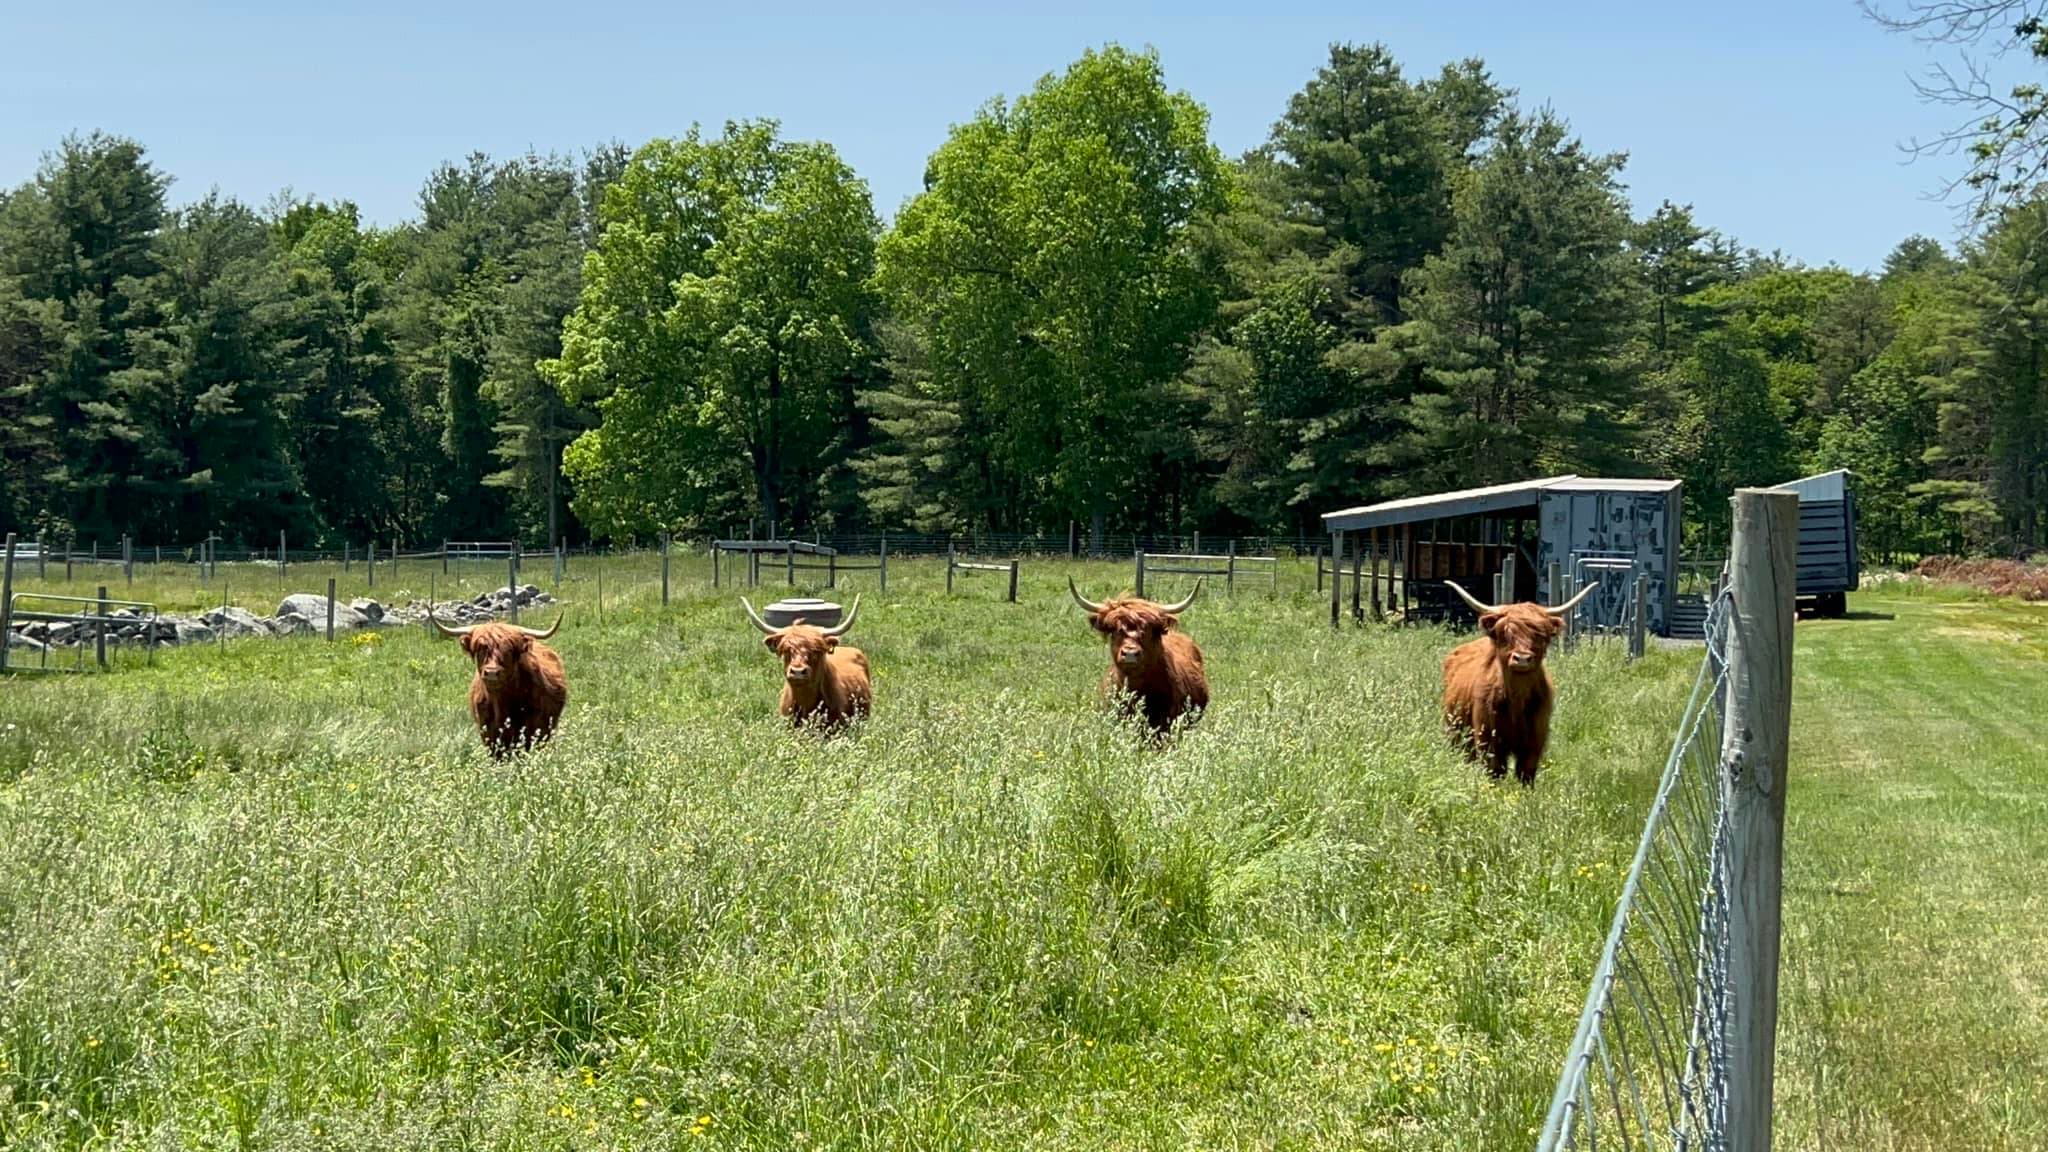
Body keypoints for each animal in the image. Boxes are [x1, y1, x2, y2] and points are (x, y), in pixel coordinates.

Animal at [428, 608, 568, 759]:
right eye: (480, 649)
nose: (491, 672)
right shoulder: (488, 734)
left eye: (509, 650)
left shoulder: (535, 729)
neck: (502, 704)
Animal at [1438, 580, 1597, 785]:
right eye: (1505, 634)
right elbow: (1495, 772)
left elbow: (1525, 774)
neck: (1516, 701)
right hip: (1456, 732)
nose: (1522, 659)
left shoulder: (1535, 742)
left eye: (1540, 636)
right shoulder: (1488, 741)